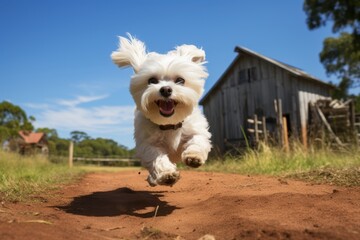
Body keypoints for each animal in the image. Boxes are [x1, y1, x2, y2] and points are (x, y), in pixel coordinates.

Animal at [112, 34, 211, 187]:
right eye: (152, 80)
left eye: (180, 80)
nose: (165, 89)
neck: (169, 124)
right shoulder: (147, 144)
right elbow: (156, 157)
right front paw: (166, 175)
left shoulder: (196, 130)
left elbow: (197, 140)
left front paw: (193, 156)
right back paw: (153, 179)